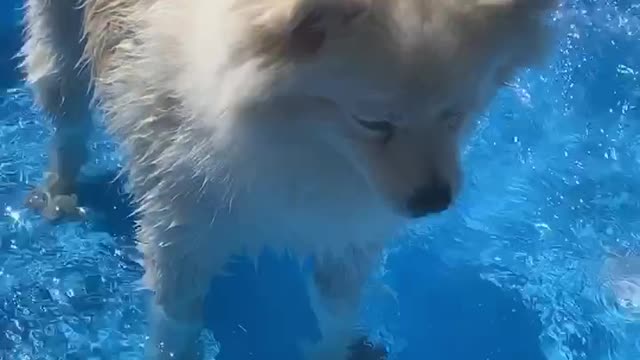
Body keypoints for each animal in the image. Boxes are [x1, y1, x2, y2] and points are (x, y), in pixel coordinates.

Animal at [20, 0, 556, 358]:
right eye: (373, 122)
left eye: (456, 115)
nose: (433, 200)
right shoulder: (181, 239)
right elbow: (177, 325)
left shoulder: (345, 231)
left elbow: (337, 312)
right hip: (61, 45)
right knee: (68, 113)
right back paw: (60, 189)